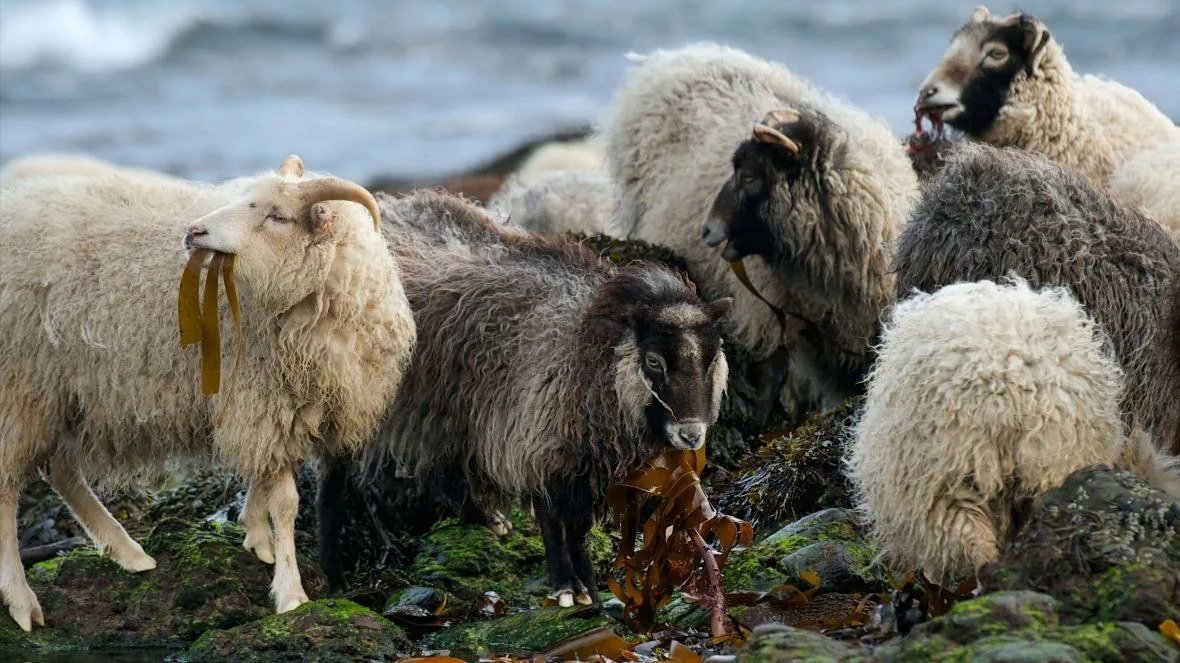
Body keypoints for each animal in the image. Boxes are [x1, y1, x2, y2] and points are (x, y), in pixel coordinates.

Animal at [0, 152, 417, 627]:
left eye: (278, 216)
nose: (193, 232)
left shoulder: (283, 403)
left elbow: (264, 479)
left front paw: (255, 533)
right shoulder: (261, 397)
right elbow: (286, 503)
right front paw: (291, 592)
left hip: (63, 391)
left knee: (61, 470)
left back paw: (127, 552)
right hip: (21, 385)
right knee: (8, 487)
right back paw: (21, 599)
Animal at [318, 188, 731, 608]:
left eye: (712, 357)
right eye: (654, 361)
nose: (691, 435)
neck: (584, 348)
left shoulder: (580, 461)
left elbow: (579, 531)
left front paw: (592, 590)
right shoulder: (535, 442)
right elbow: (552, 522)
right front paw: (566, 586)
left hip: (444, 405)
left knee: (444, 464)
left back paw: (484, 518)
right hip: (344, 395)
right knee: (330, 485)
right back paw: (334, 579)